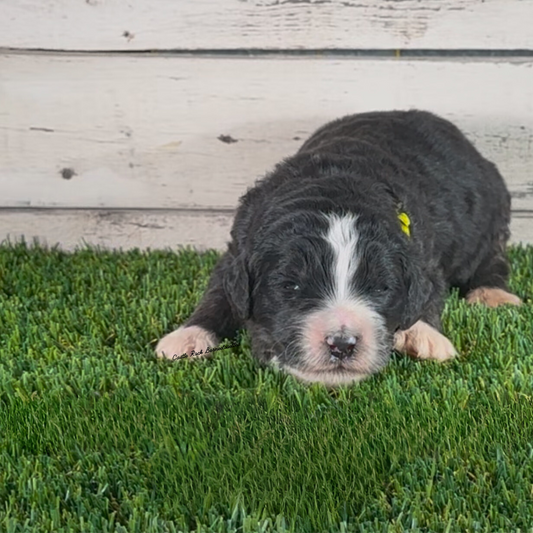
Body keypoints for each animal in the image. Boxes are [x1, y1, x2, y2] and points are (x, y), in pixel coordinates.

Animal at [155, 110, 520, 384]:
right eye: (291, 286)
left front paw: (424, 336)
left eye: (381, 288)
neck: (334, 189)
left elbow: (430, 293)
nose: (342, 344)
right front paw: (187, 337)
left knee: (491, 258)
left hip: (486, 217)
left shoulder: (424, 253)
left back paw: (493, 295)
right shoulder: (238, 249)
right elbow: (218, 294)